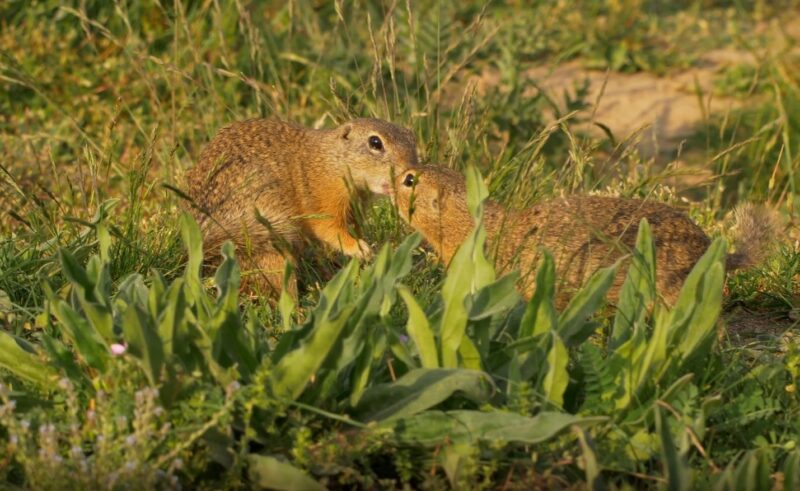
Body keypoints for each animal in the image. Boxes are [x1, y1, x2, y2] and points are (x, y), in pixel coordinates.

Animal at [186, 119, 418, 296]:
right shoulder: (324, 202)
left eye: (412, 140)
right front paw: (361, 249)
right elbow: (331, 230)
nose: (411, 173)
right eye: (375, 142)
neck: (331, 161)